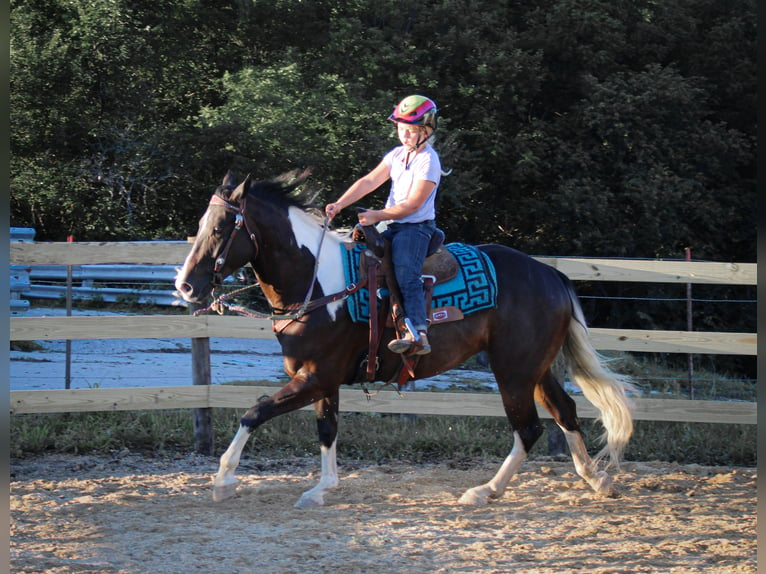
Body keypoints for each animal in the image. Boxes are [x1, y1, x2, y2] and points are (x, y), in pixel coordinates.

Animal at [176, 170, 636, 508]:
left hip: (514, 372)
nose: (184, 286)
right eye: (201, 224)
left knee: (529, 428)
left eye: (221, 227)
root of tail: (550, 274)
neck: (318, 284)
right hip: (535, 368)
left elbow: (254, 412)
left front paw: (223, 480)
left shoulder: (314, 377)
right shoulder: (322, 380)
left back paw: (485, 491)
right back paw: (596, 479)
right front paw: (323, 489)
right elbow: (327, 429)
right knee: (565, 411)